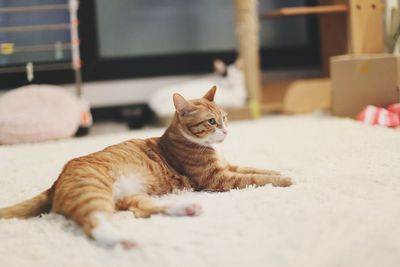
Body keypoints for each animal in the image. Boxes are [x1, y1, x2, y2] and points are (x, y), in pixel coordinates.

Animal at [0, 87, 292, 250]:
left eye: (225, 118)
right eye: (211, 122)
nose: (226, 131)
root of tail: (56, 181)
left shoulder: (230, 165)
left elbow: (258, 169)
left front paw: (285, 170)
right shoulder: (216, 178)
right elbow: (253, 178)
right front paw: (287, 181)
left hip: (131, 196)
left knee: (143, 210)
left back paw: (186, 208)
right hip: (91, 192)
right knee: (94, 223)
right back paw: (123, 241)